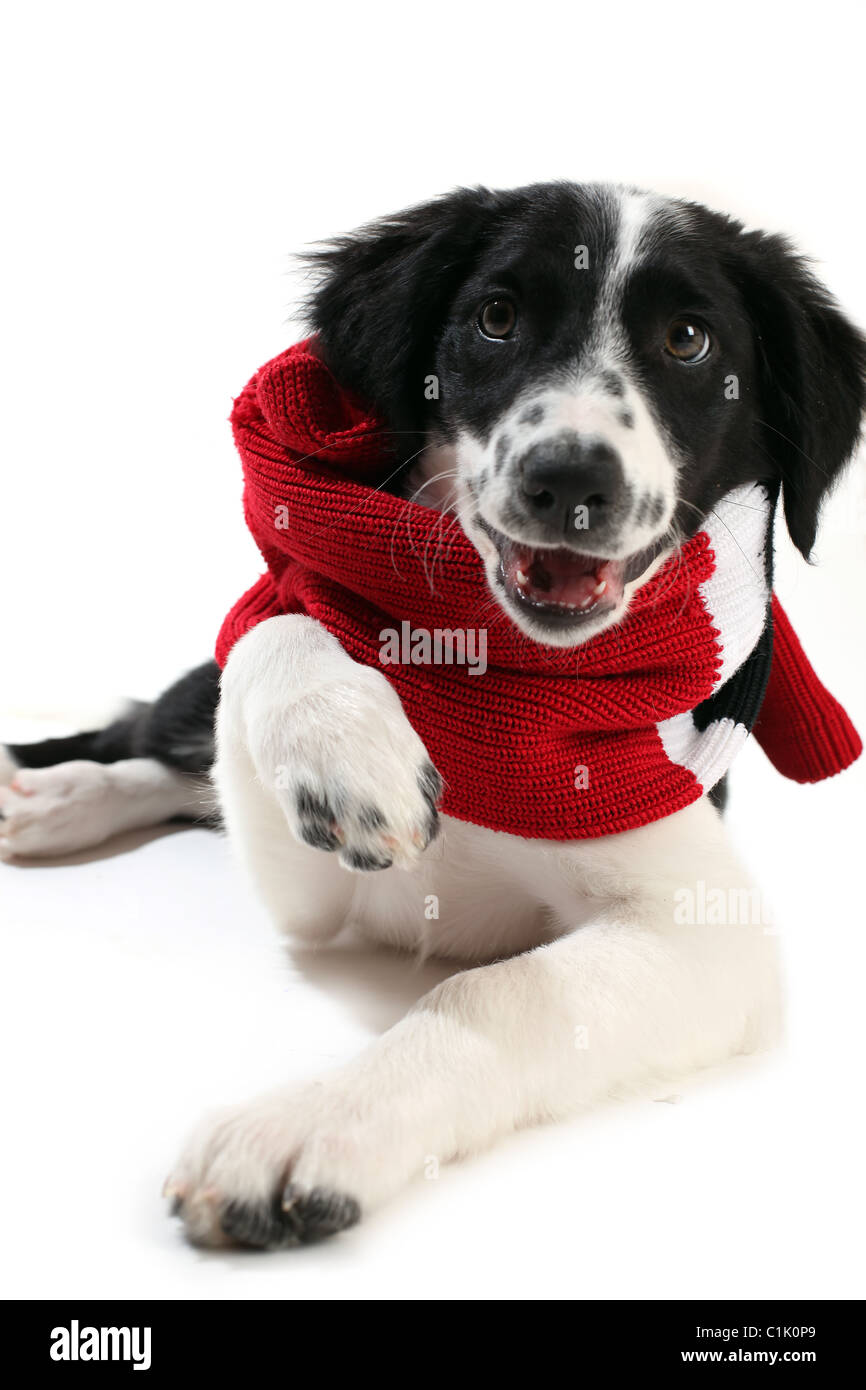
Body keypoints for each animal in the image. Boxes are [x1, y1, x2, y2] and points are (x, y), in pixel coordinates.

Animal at [1, 184, 866, 1251]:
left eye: (689, 340)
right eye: (496, 318)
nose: (569, 480)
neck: (515, 684)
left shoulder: (705, 928)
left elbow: (497, 989)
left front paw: (311, 1123)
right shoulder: (311, 898)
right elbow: (281, 617)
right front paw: (351, 758)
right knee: (156, 734)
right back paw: (49, 797)